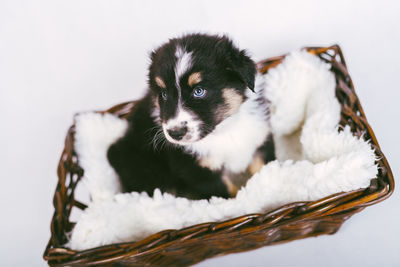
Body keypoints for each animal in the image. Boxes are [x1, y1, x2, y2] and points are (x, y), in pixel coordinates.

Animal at [106, 33, 276, 200]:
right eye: (164, 94)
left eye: (199, 91)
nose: (175, 133)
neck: (224, 130)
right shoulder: (198, 171)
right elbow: (228, 192)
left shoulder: (260, 142)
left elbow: (263, 170)